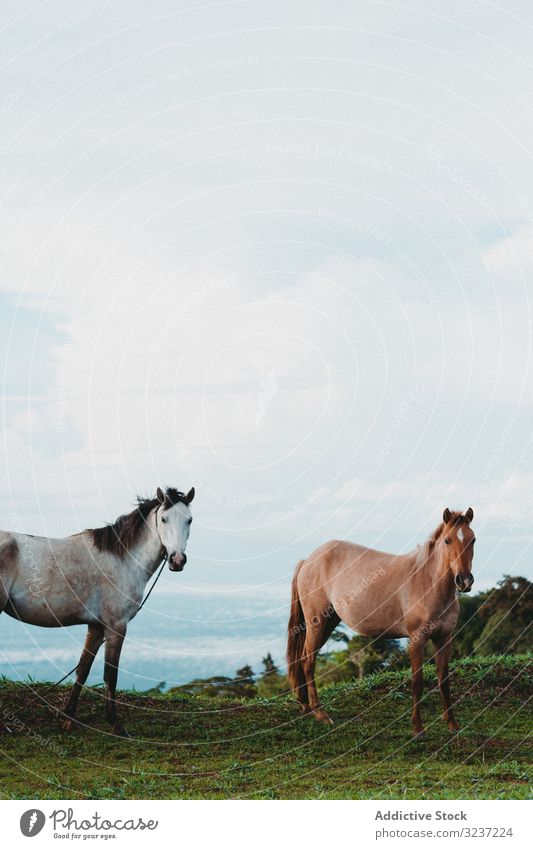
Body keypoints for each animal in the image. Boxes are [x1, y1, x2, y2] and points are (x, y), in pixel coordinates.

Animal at [0, 486, 194, 732]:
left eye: (189, 520)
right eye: (164, 519)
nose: (177, 560)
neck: (123, 560)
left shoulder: (96, 626)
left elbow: (83, 669)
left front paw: (69, 716)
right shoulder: (116, 625)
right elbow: (111, 673)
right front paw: (114, 723)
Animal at [286, 506, 474, 740]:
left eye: (472, 539)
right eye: (448, 540)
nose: (464, 581)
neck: (428, 582)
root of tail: (307, 561)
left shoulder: (444, 638)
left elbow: (444, 680)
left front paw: (453, 724)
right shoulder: (417, 639)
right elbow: (417, 681)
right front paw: (418, 728)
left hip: (328, 622)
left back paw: (305, 705)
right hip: (317, 622)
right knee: (308, 660)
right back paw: (320, 713)